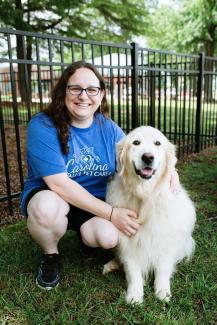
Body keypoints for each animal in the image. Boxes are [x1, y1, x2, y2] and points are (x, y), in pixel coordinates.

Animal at [102, 124, 196, 304]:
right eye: (136, 142)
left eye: (157, 143)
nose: (148, 157)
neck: (144, 195)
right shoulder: (127, 239)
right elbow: (132, 271)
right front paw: (134, 294)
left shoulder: (166, 240)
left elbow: (163, 268)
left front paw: (162, 290)